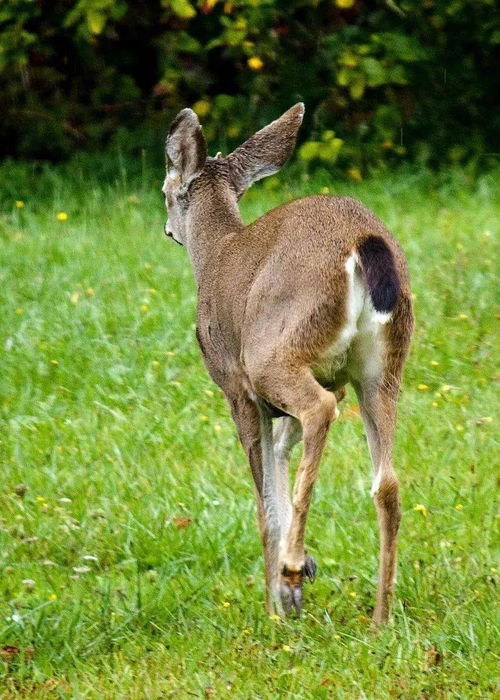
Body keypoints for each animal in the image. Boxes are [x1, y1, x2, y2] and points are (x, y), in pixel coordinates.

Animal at [161, 101, 414, 620]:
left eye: (165, 192)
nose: (167, 229)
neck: (215, 253)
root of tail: (363, 243)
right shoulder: (326, 379)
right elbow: (279, 458)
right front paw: (291, 593)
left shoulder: (236, 386)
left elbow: (265, 505)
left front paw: (276, 605)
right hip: (379, 368)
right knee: (387, 482)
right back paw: (379, 620)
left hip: (273, 352)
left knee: (320, 411)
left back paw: (294, 566)